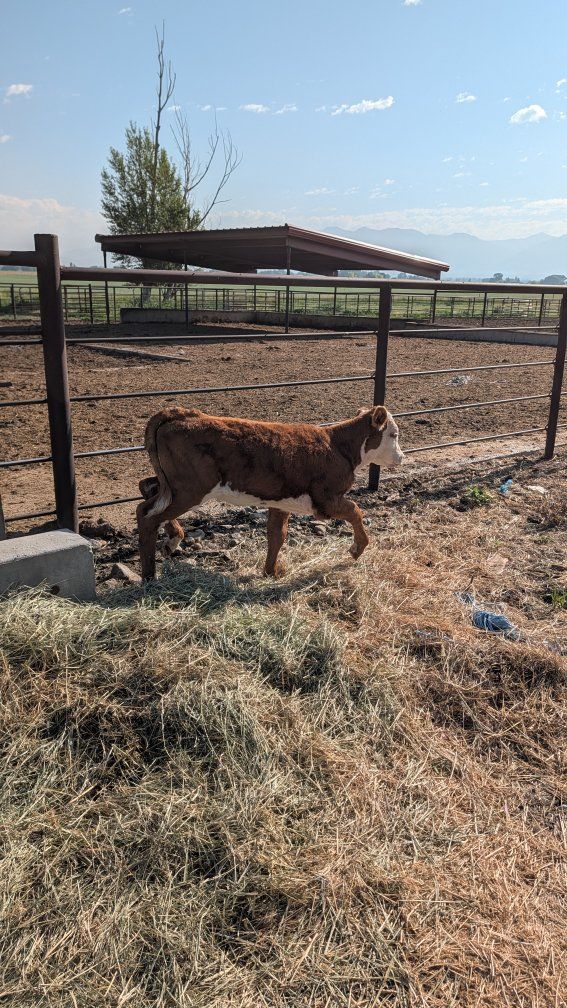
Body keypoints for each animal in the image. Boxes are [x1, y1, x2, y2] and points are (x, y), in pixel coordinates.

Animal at [136, 405, 404, 580]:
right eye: (393, 434)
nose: (401, 457)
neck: (339, 446)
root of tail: (181, 413)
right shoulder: (325, 500)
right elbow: (356, 512)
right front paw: (357, 548)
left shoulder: (282, 502)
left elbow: (277, 536)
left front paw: (271, 572)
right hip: (191, 489)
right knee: (147, 514)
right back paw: (149, 575)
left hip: (173, 486)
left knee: (147, 488)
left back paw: (172, 540)